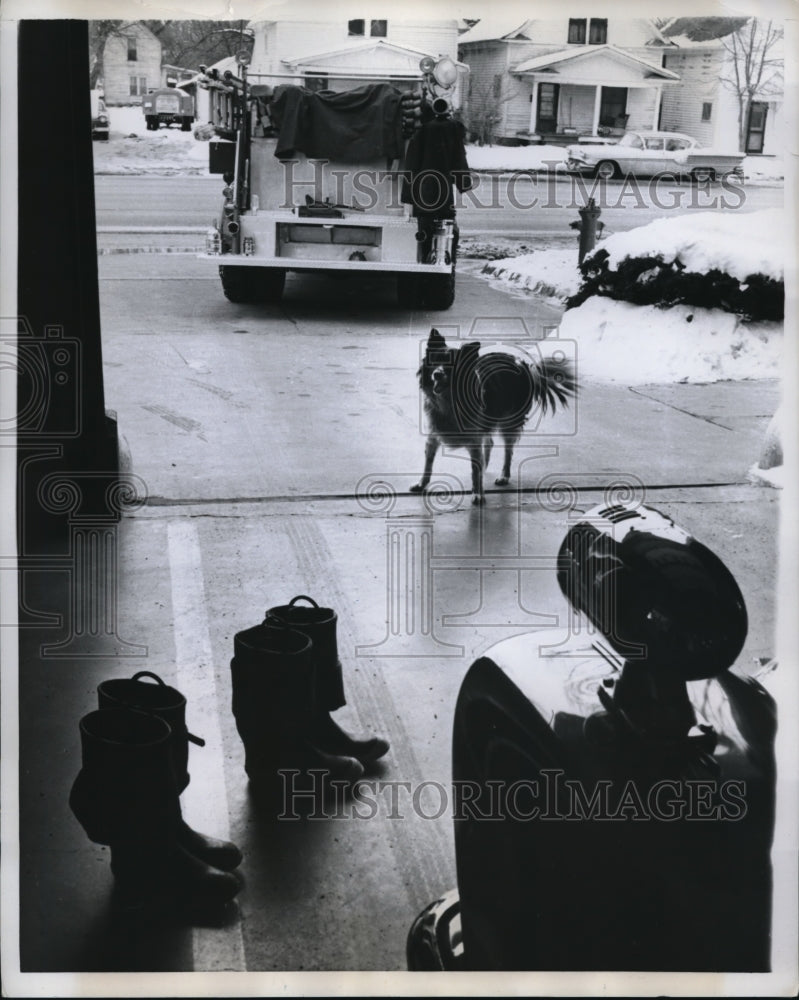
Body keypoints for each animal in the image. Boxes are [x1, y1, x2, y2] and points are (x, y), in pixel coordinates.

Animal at [412, 328, 576, 504]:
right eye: (435, 361)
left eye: (452, 365)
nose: (437, 374)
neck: (449, 400)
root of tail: (523, 363)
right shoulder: (433, 435)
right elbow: (428, 464)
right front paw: (422, 484)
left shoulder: (474, 438)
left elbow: (475, 470)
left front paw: (478, 493)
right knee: (489, 444)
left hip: (509, 423)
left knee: (508, 451)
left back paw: (504, 476)